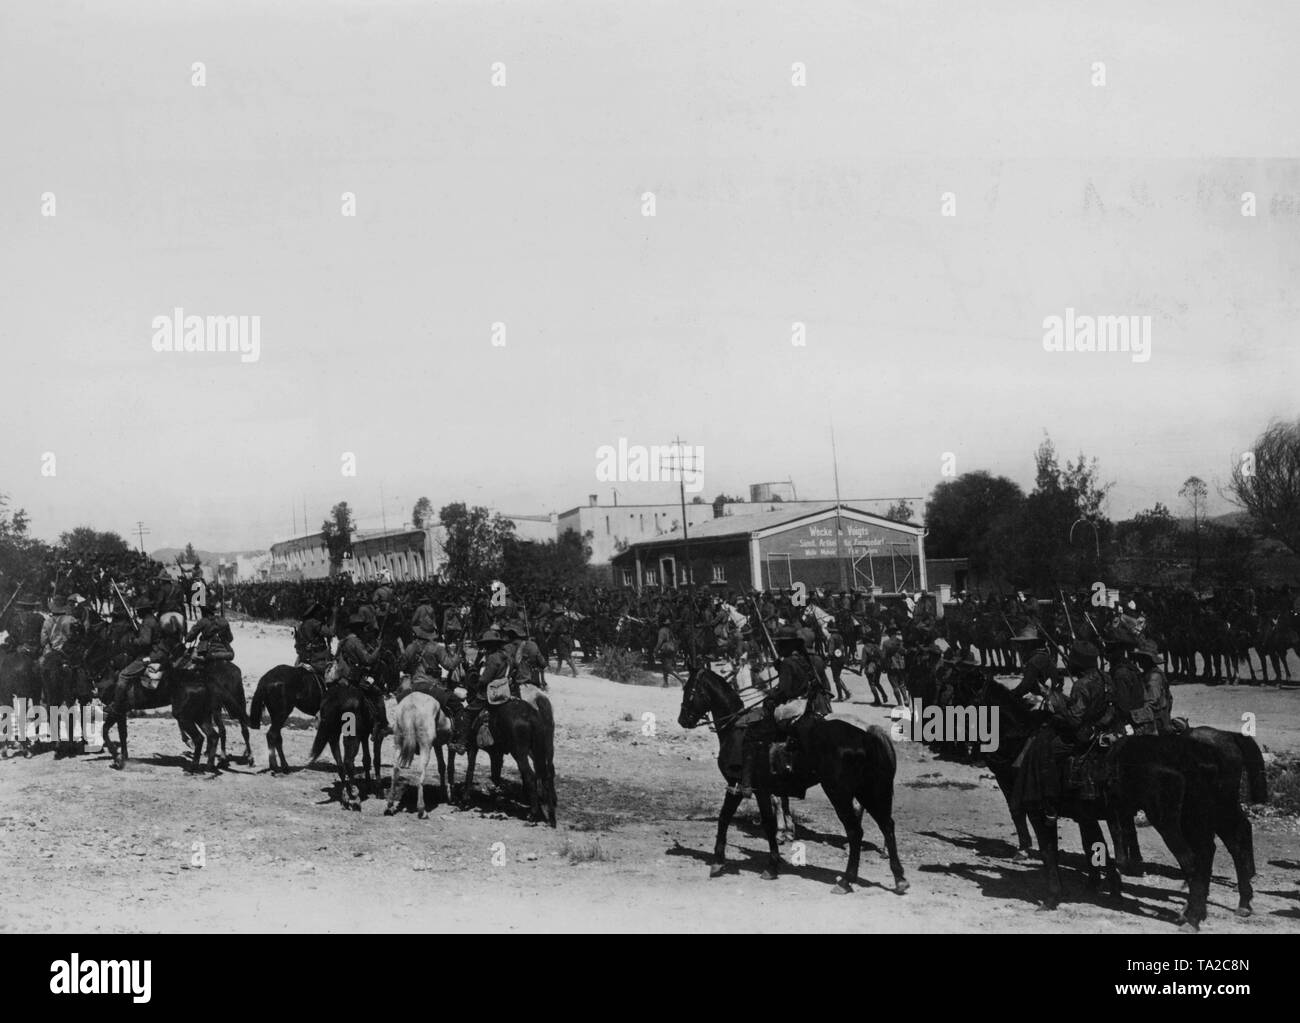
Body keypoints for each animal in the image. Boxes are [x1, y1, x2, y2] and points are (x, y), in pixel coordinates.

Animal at [382, 691, 454, 821]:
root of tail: (410, 705)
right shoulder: (450, 744)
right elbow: (450, 767)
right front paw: (450, 795)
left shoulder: (437, 745)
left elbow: (442, 766)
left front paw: (443, 793)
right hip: (425, 744)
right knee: (421, 770)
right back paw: (422, 810)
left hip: (398, 741)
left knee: (395, 769)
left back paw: (390, 805)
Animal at [676, 662, 909, 894]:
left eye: (688, 689)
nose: (682, 719)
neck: (735, 728)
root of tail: (867, 734)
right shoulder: (760, 789)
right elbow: (745, 817)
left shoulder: (741, 786)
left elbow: (745, 820)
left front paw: (727, 862)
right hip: (869, 790)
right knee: (887, 825)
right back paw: (898, 877)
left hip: (839, 793)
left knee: (855, 831)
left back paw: (846, 880)